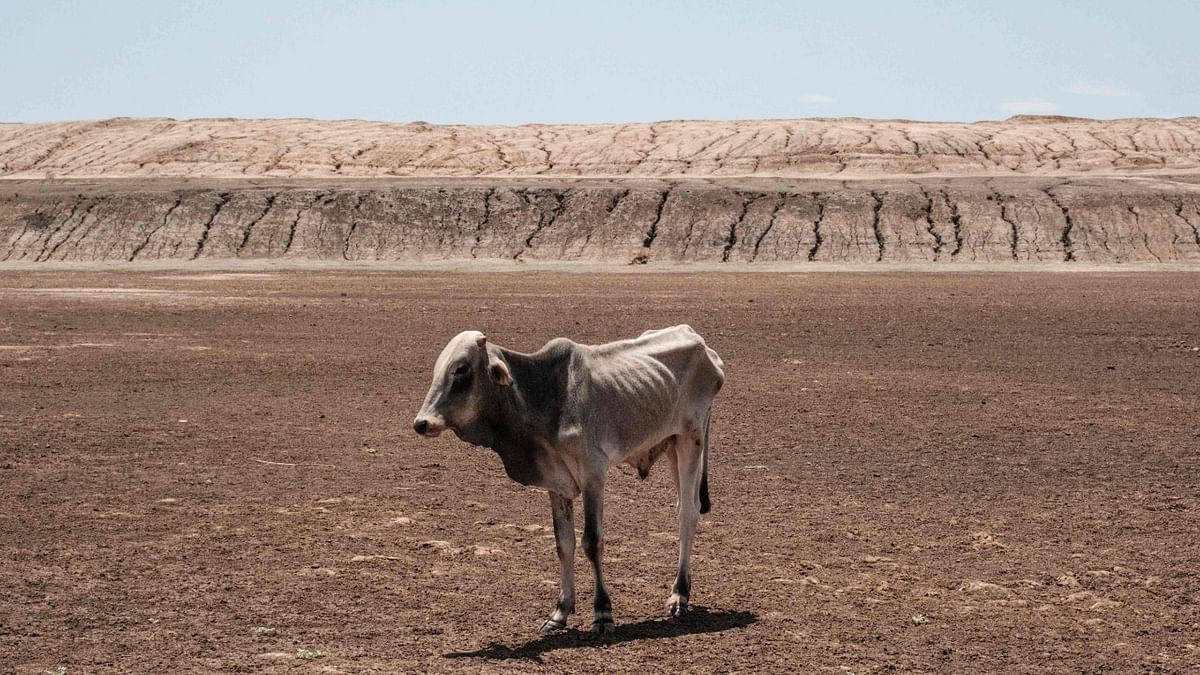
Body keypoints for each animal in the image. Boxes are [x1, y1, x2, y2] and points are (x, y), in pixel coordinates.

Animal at [412, 324, 720, 629]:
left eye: (461, 369)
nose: (421, 423)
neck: (544, 396)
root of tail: (700, 342)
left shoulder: (593, 475)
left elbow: (592, 542)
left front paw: (602, 611)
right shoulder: (556, 483)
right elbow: (564, 544)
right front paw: (560, 611)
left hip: (691, 439)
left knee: (688, 513)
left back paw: (679, 594)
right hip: (671, 444)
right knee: (683, 506)